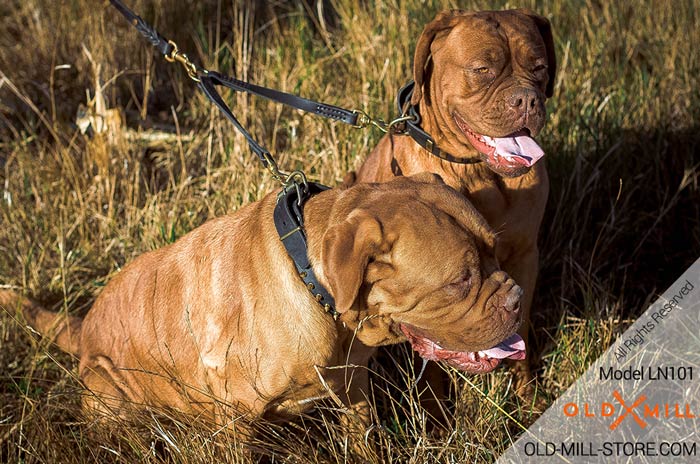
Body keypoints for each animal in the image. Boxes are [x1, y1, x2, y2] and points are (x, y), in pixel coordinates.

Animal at [2, 174, 524, 432]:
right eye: (460, 280)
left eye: (495, 250)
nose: (517, 297)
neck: (316, 288)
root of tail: (84, 325)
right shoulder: (232, 417)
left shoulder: (352, 391)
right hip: (112, 399)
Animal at [352, 9, 556, 390]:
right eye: (482, 70)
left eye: (539, 67)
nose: (526, 99)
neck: (480, 172)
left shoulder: (525, 256)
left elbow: (519, 331)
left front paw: (527, 393)